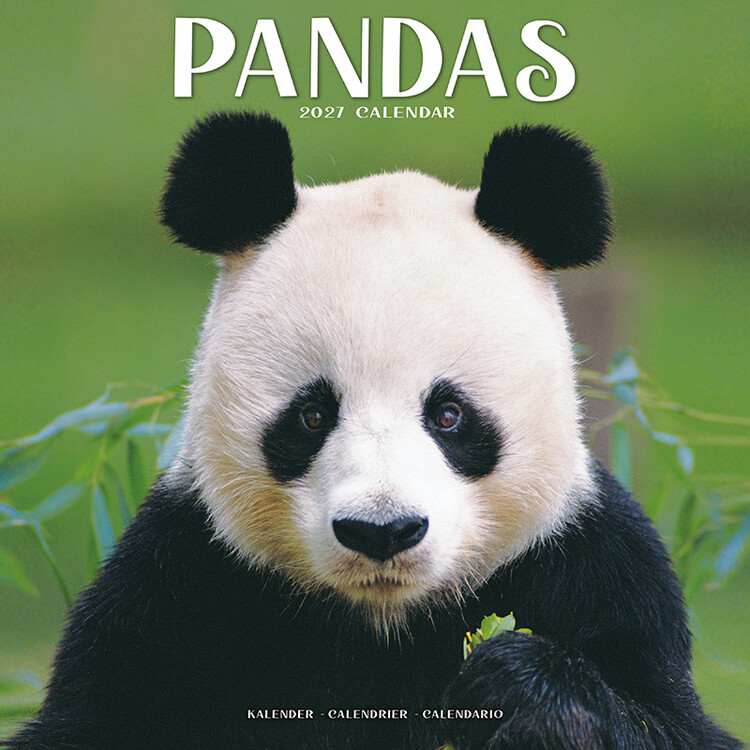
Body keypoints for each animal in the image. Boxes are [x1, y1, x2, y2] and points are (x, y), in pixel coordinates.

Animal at [9, 112, 740, 750]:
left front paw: (518, 691)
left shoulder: (592, 564)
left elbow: (670, 721)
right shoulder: (183, 578)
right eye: (311, 415)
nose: (382, 532)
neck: (384, 620)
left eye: (449, 415)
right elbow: (91, 719)